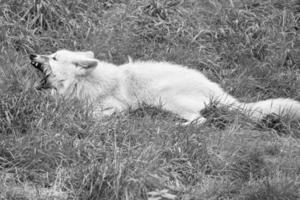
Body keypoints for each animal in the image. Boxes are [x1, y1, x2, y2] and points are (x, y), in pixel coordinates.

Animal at [28, 49, 300, 123]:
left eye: (54, 57)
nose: (31, 55)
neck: (82, 83)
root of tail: (215, 88)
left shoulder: (117, 106)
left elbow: (90, 114)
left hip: (165, 99)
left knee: (200, 120)